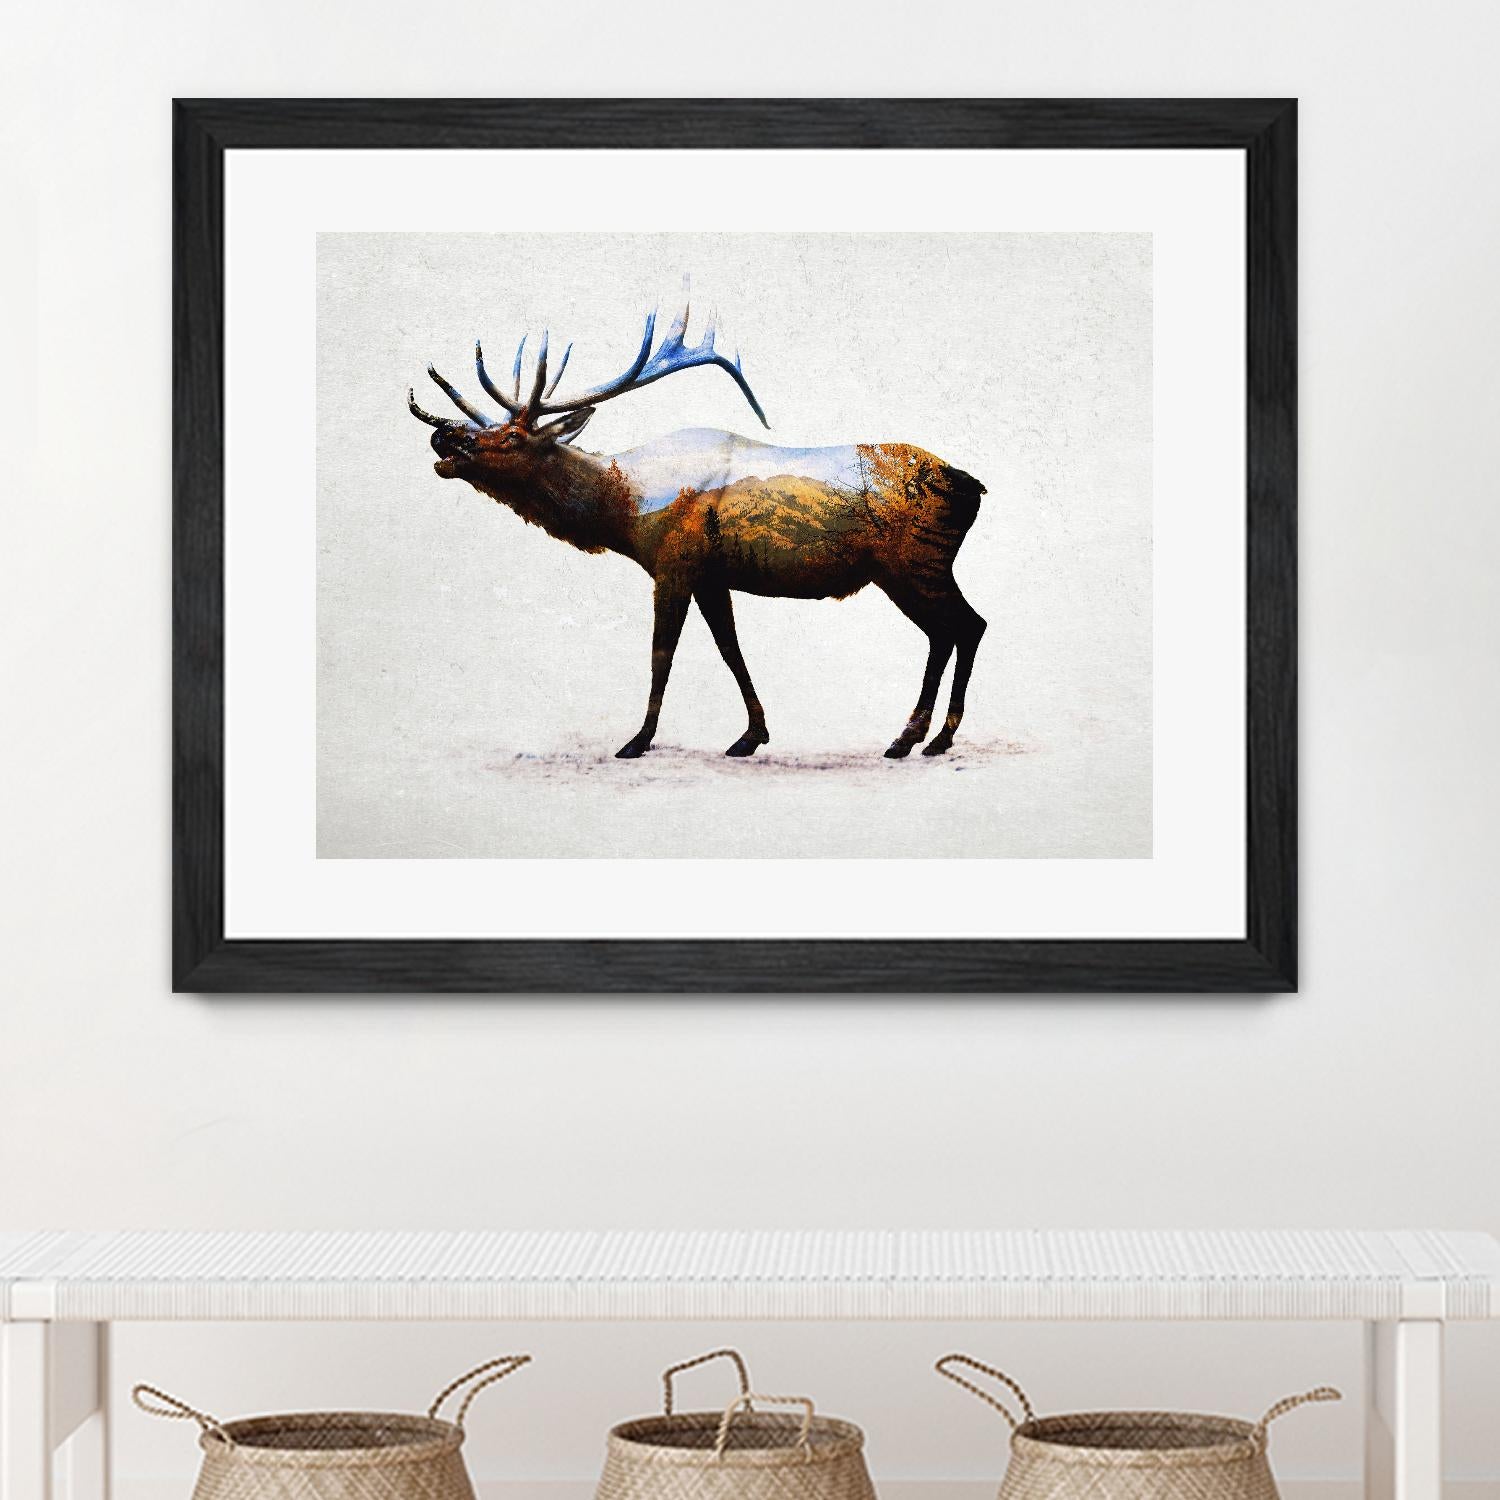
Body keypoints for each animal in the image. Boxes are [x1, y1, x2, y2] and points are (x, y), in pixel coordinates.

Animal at [408, 301, 987, 761]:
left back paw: (921, 739)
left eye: (510, 436)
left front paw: (637, 740)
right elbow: (731, 649)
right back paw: (922, 738)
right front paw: (752, 735)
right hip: (918, 568)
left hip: (913, 563)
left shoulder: (674, 563)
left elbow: (661, 654)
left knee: (963, 626)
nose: (444, 436)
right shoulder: (712, 576)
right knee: (957, 628)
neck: (626, 508)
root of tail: (973, 486)